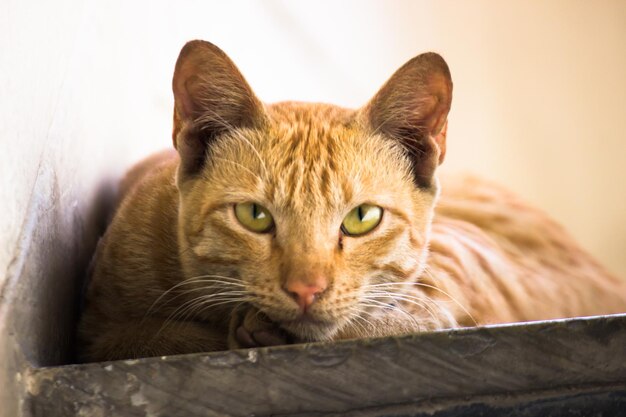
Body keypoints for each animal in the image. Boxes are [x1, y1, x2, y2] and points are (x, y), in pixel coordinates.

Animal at [77, 40, 624, 362]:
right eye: (255, 216)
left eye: (362, 218)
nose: (306, 289)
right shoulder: (97, 332)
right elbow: (163, 334)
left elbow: (406, 314)